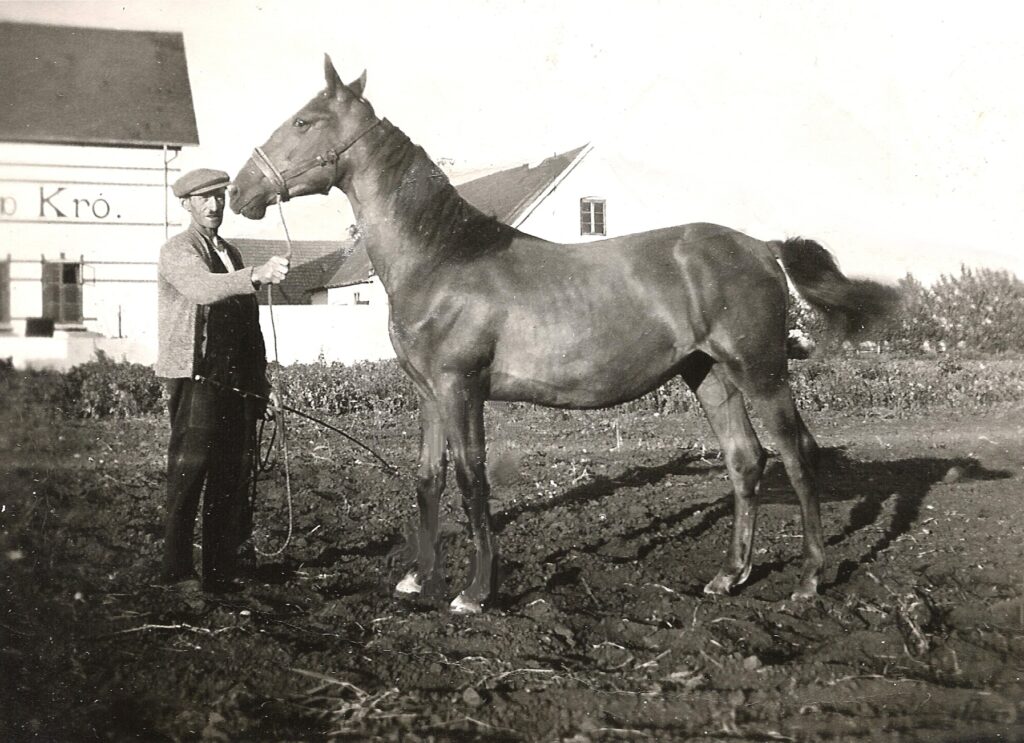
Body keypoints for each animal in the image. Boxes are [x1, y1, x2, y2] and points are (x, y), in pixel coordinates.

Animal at [230, 55, 897, 614]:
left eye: (304, 120)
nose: (240, 191)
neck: (444, 255)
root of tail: (761, 246)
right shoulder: (427, 394)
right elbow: (428, 478)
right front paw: (418, 579)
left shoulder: (460, 389)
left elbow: (472, 479)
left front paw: (475, 593)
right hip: (708, 375)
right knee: (745, 460)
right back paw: (728, 576)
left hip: (761, 371)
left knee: (798, 454)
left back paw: (808, 581)